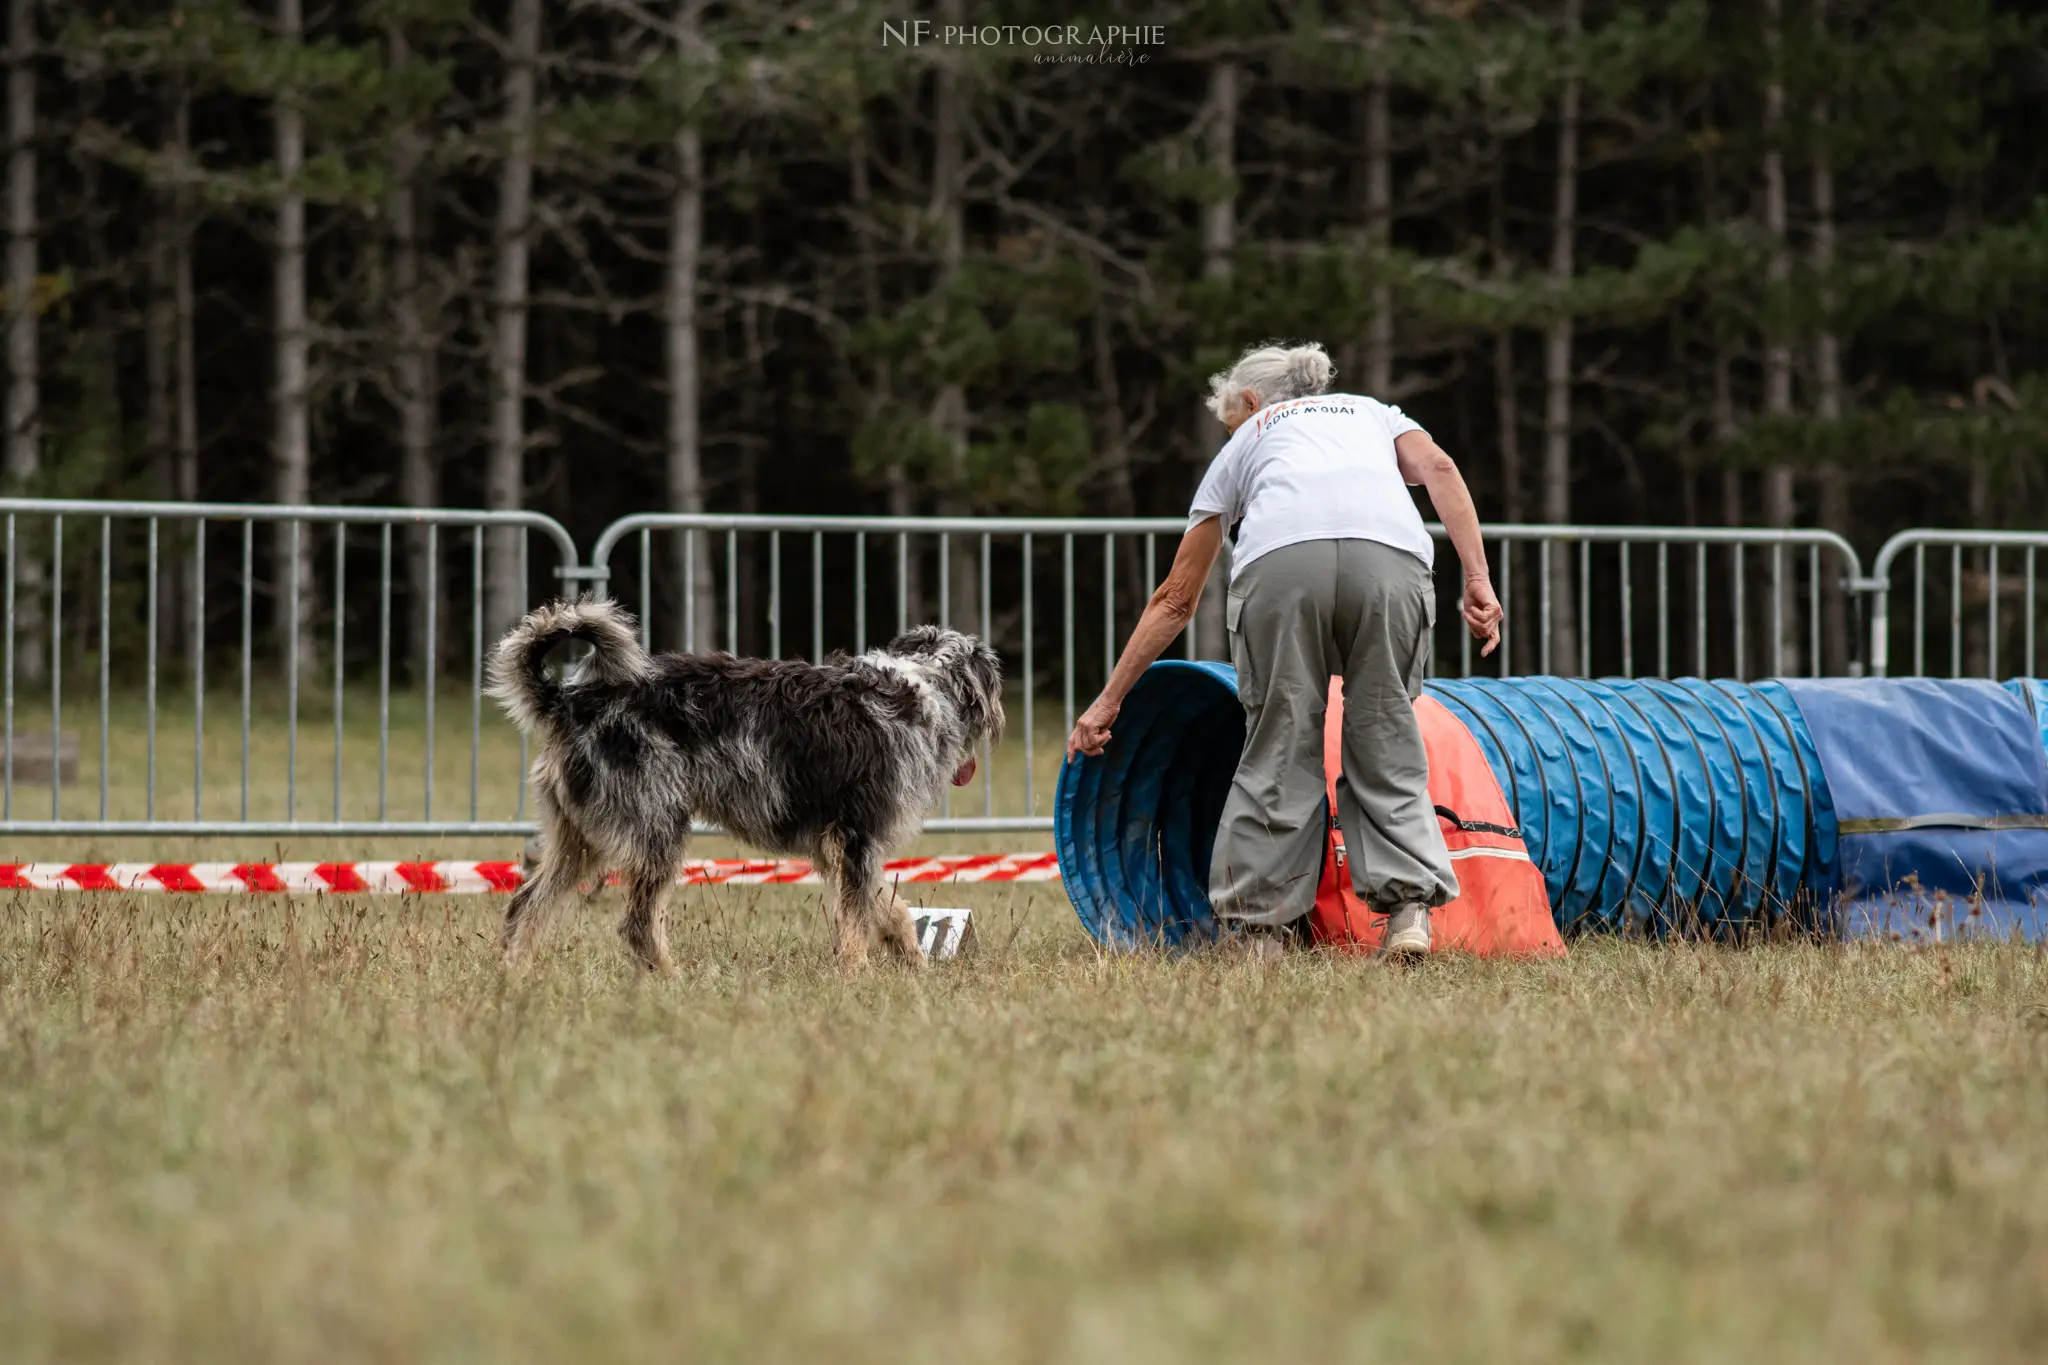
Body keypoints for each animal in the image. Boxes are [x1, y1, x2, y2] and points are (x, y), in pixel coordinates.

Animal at [481, 597, 1007, 970]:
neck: (921, 690)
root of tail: (570, 700)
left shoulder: (850, 848)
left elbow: (890, 909)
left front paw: (912, 962)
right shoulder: (858, 838)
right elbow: (860, 918)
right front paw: (859, 977)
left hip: (578, 840)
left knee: (526, 904)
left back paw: (513, 976)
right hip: (656, 832)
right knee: (636, 926)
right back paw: (671, 979)